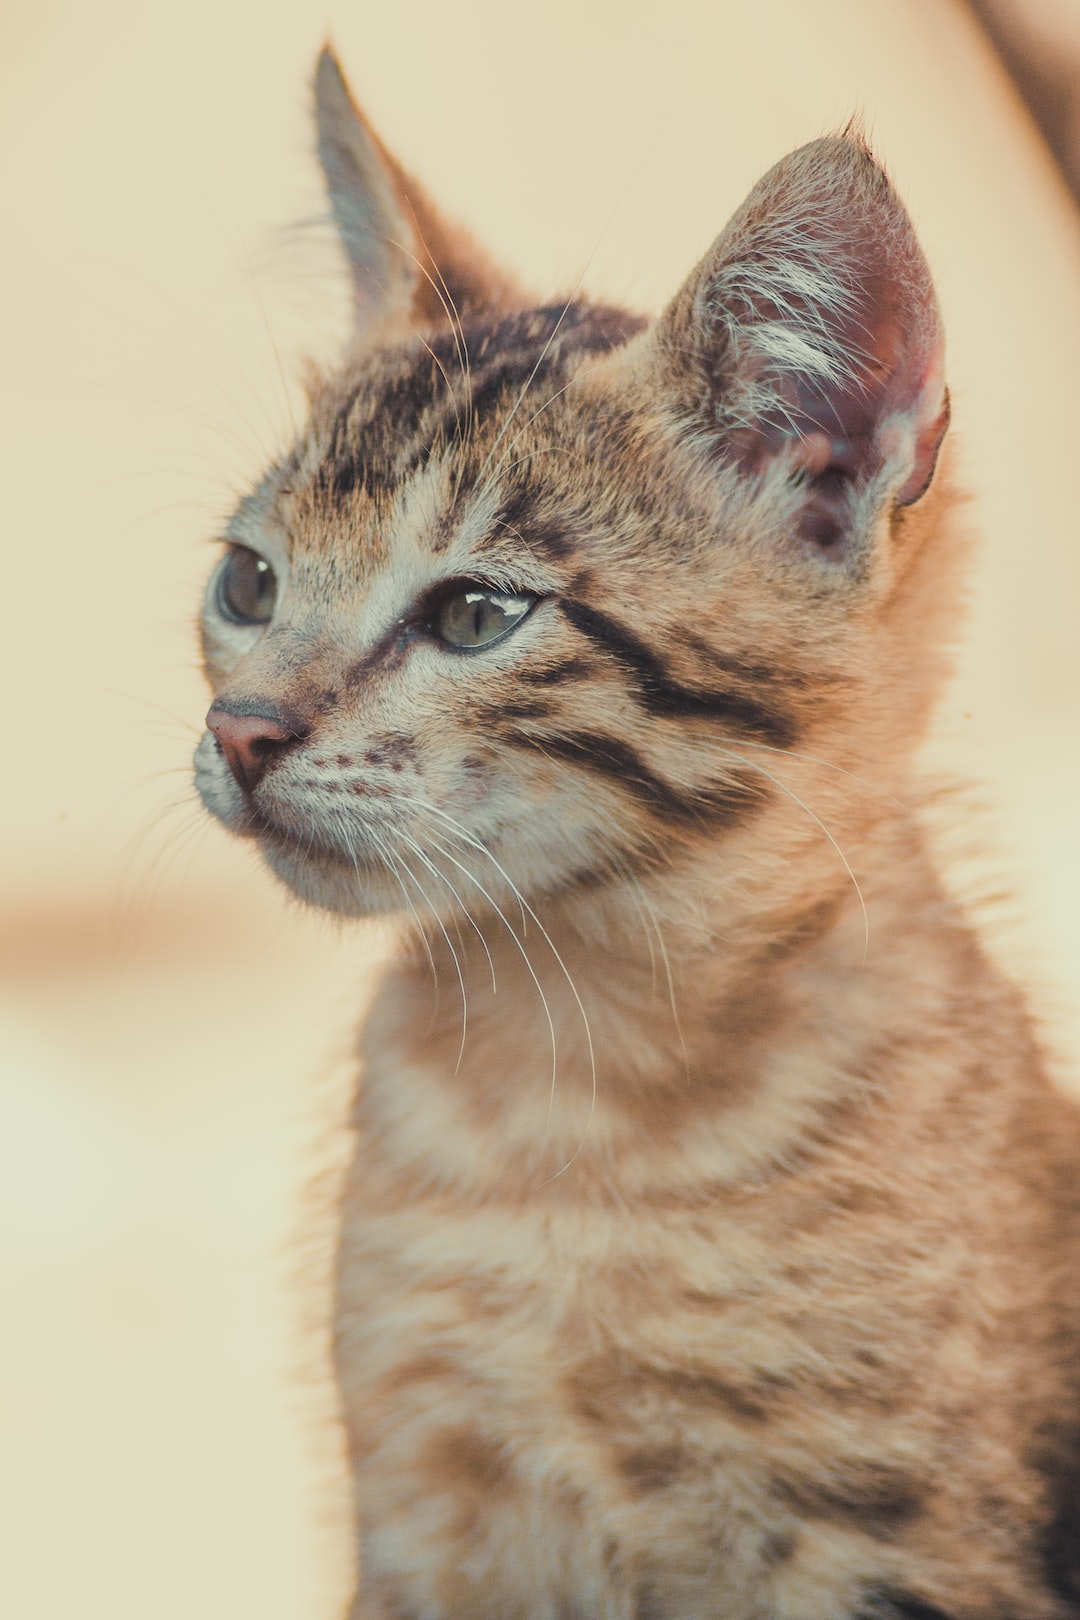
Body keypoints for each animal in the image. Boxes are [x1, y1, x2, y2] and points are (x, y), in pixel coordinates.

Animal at [193, 46, 1080, 1620]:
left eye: (475, 614)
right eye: (248, 584)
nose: (241, 732)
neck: (571, 1109)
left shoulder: (897, 1546)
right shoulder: (422, 1522)